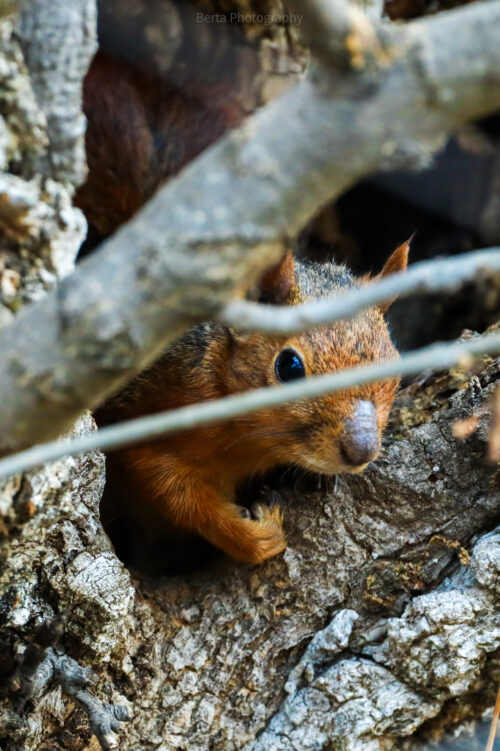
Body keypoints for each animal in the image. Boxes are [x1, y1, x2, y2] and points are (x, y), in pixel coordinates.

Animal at [95, 243, 409, 566]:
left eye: (395, 362)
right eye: (289, 367)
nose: (362, 450)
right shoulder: (139, 433)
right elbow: (179, 498)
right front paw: (260, 535)